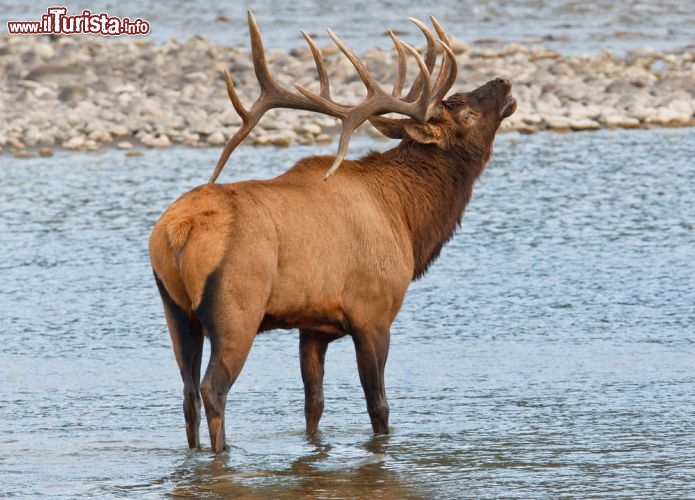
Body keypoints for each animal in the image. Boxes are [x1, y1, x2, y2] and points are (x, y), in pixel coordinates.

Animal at [148, 10, 516, 454]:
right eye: (465, 114)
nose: (504, 82)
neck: (407, 219)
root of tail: (176, 231)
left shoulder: (313, 326)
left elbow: (314, 405)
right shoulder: (374, 313)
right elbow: (379, 407)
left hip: (176, 311)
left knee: (187, 393)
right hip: (237, 308)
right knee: (212, 389)